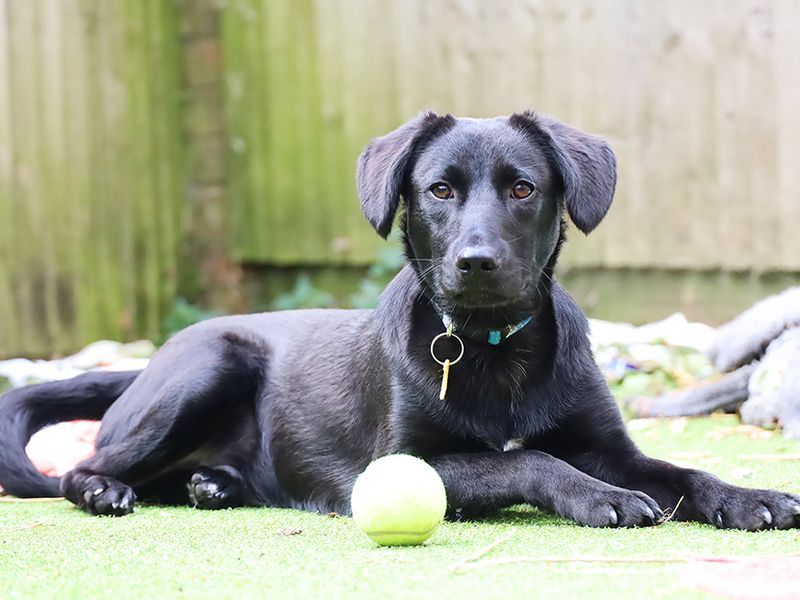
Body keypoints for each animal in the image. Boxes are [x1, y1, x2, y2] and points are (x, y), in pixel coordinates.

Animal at [1, 112, 800, 528]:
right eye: (439, 190)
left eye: (523, 188)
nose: (476, 262)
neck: (492, 349)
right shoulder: (408, 458)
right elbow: (528, 459)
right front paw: (602, 498)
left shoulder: (608, 445)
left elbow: (683, 470)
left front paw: (749, 496)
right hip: (210, 365)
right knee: (85, 465)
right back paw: (106, 491)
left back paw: (214, 486)